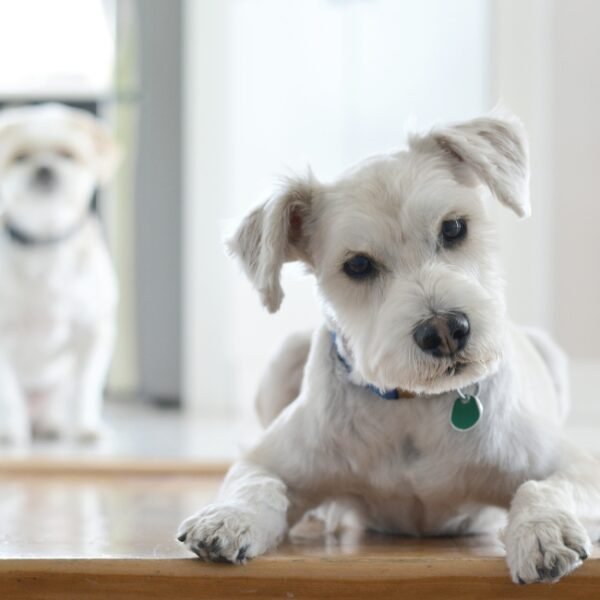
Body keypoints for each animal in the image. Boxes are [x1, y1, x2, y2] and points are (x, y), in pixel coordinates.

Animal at [0, 102, 120, 440]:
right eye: (20, 157)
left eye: (67, 154)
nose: (43, 168)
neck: (45, 242)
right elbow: (9, 394)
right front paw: (10, 432)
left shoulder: (94, 333)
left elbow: (86, 388)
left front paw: (86, 427)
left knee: (59, 401)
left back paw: (53, 424)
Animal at [179, 113, 600, 584]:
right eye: (358, 265)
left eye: (454, 228)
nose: (445, 331)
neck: (414, 407)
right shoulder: (265, 461)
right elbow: (256, 483)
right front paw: (228, 518)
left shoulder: (576, 466)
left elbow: (544, 486)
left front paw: (544, 531)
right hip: (283, 358)